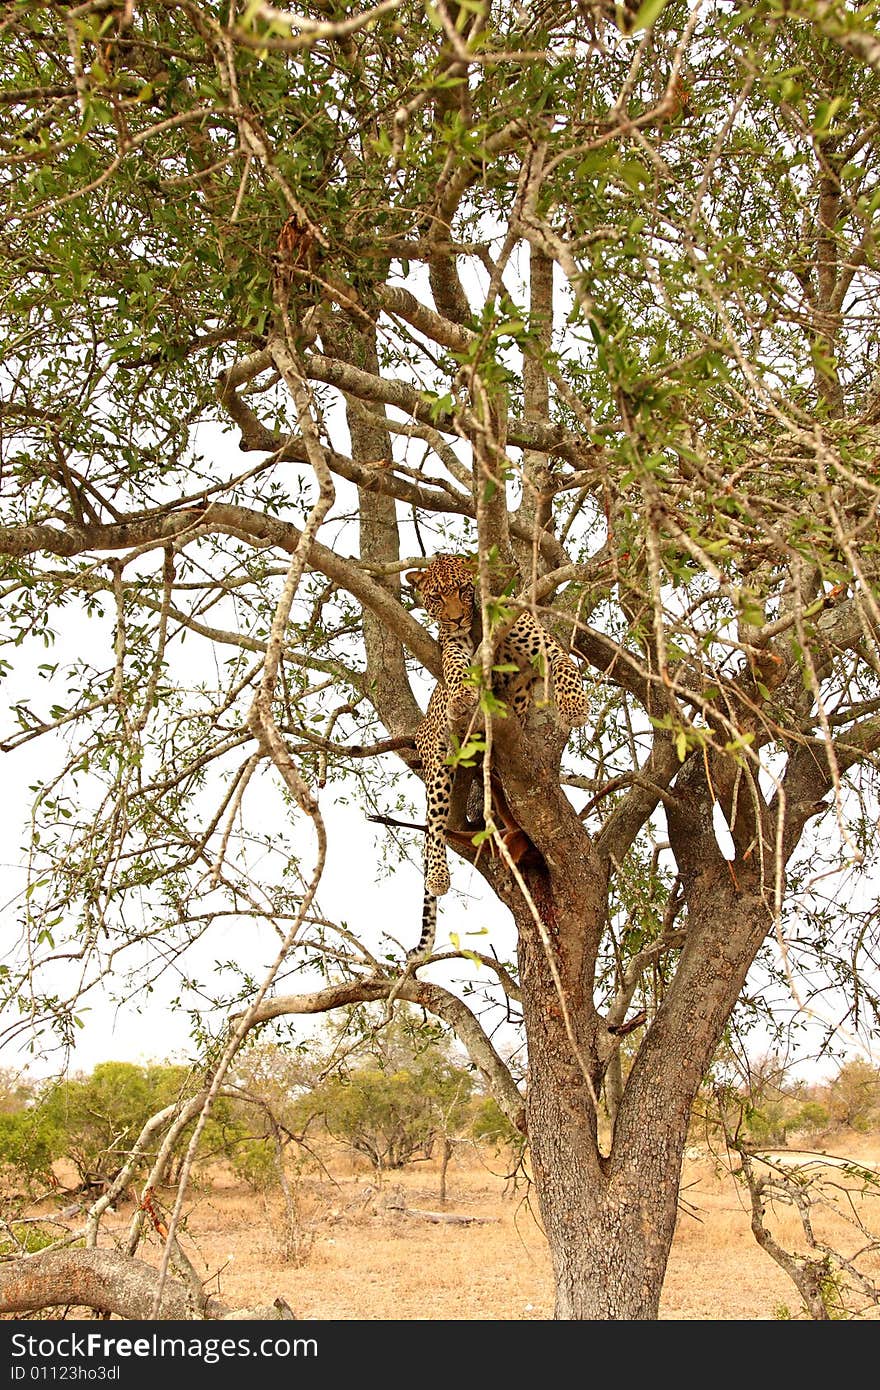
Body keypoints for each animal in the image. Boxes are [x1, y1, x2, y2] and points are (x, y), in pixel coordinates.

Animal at [405, 550, 589, 956]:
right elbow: (455, 667)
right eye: (436, 597)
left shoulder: (545, 648)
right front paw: (461, 691)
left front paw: (574, 706)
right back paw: (438, 875)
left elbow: (567, 669)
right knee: (433, 826)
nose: (457, 618)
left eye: (463, 589)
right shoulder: (455, 646)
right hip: (438, 763)